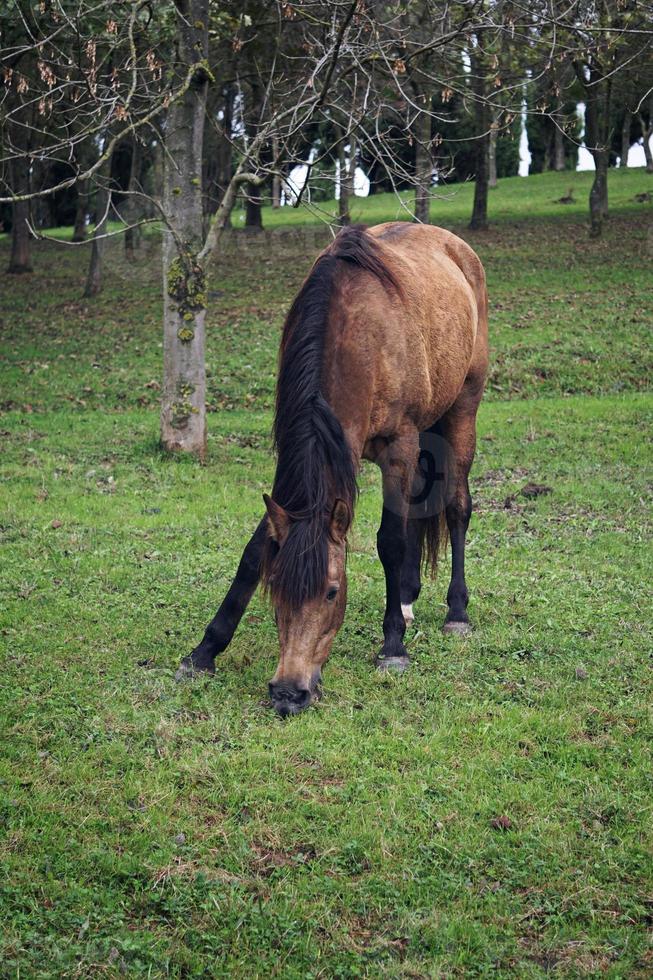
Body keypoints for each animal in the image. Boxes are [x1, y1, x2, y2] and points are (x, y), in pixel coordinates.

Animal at [176, 222, 486, 716]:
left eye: (332, 592)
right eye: (276, 588)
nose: (289, 693)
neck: (356, 334)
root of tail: (456, 247)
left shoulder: (399, 446)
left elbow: (390, 541)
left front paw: (393, 647)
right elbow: (254, 549)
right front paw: (204, 650)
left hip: (463, 410)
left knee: (456, 506)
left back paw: (456, 612)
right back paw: (407, 596)